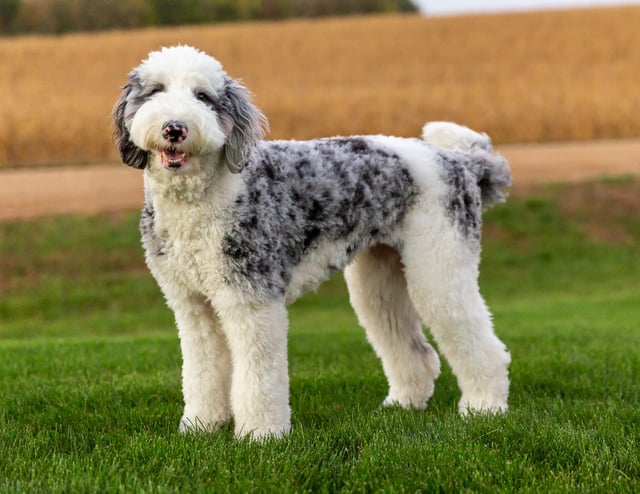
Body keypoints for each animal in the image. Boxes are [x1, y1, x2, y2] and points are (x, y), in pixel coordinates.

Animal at [112, 47, 512, 440]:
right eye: (155, 91)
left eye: (203, 97)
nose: (175, 128)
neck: (201, 200)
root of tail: (462, 161)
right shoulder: (192, 305)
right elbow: (202, 371)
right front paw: (201, 426)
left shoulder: (251, 301)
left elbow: (258, 376)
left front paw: (260, 434)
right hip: (378, 282)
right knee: (415, 350)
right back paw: (403, 404)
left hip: (439, 268)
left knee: (484, 347)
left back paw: (484, 408)